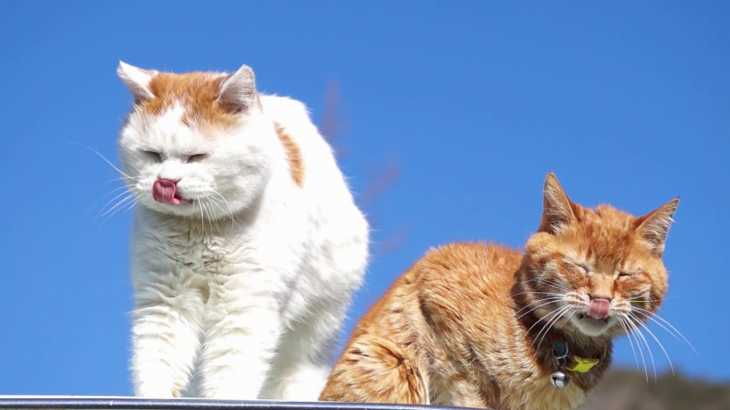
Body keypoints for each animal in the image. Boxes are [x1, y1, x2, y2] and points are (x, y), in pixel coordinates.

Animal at [118, 62, 370, 398]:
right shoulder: (165, 300)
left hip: (312, 333)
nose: (166, 182)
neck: (200, 229)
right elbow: (159, 363)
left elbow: (231, 372)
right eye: (152, 155)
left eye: (196, 157)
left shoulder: (244, 307)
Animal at [318, 173, 676, 410]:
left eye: (625, 275)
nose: (601, 299)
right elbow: (469, 386)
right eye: (580, 267)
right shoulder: (436, 294)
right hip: (387, 362)